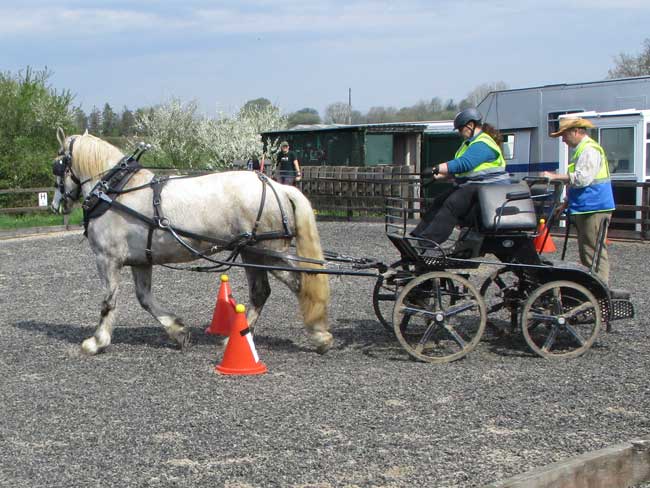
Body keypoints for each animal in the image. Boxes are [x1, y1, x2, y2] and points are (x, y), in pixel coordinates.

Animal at [51, 131, 332, 354]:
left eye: (58, 164)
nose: (56, 204)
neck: (114, 192)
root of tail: (277, 186)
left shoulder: (107, 259)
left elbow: (108, 301)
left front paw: (97, 341)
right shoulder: (141, 260)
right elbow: (145, 298)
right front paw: (178, 331)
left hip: (269, 253)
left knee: (299, 284)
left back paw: (319, 335)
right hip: (252, 254)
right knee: (261, 292)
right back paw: (239, 336)